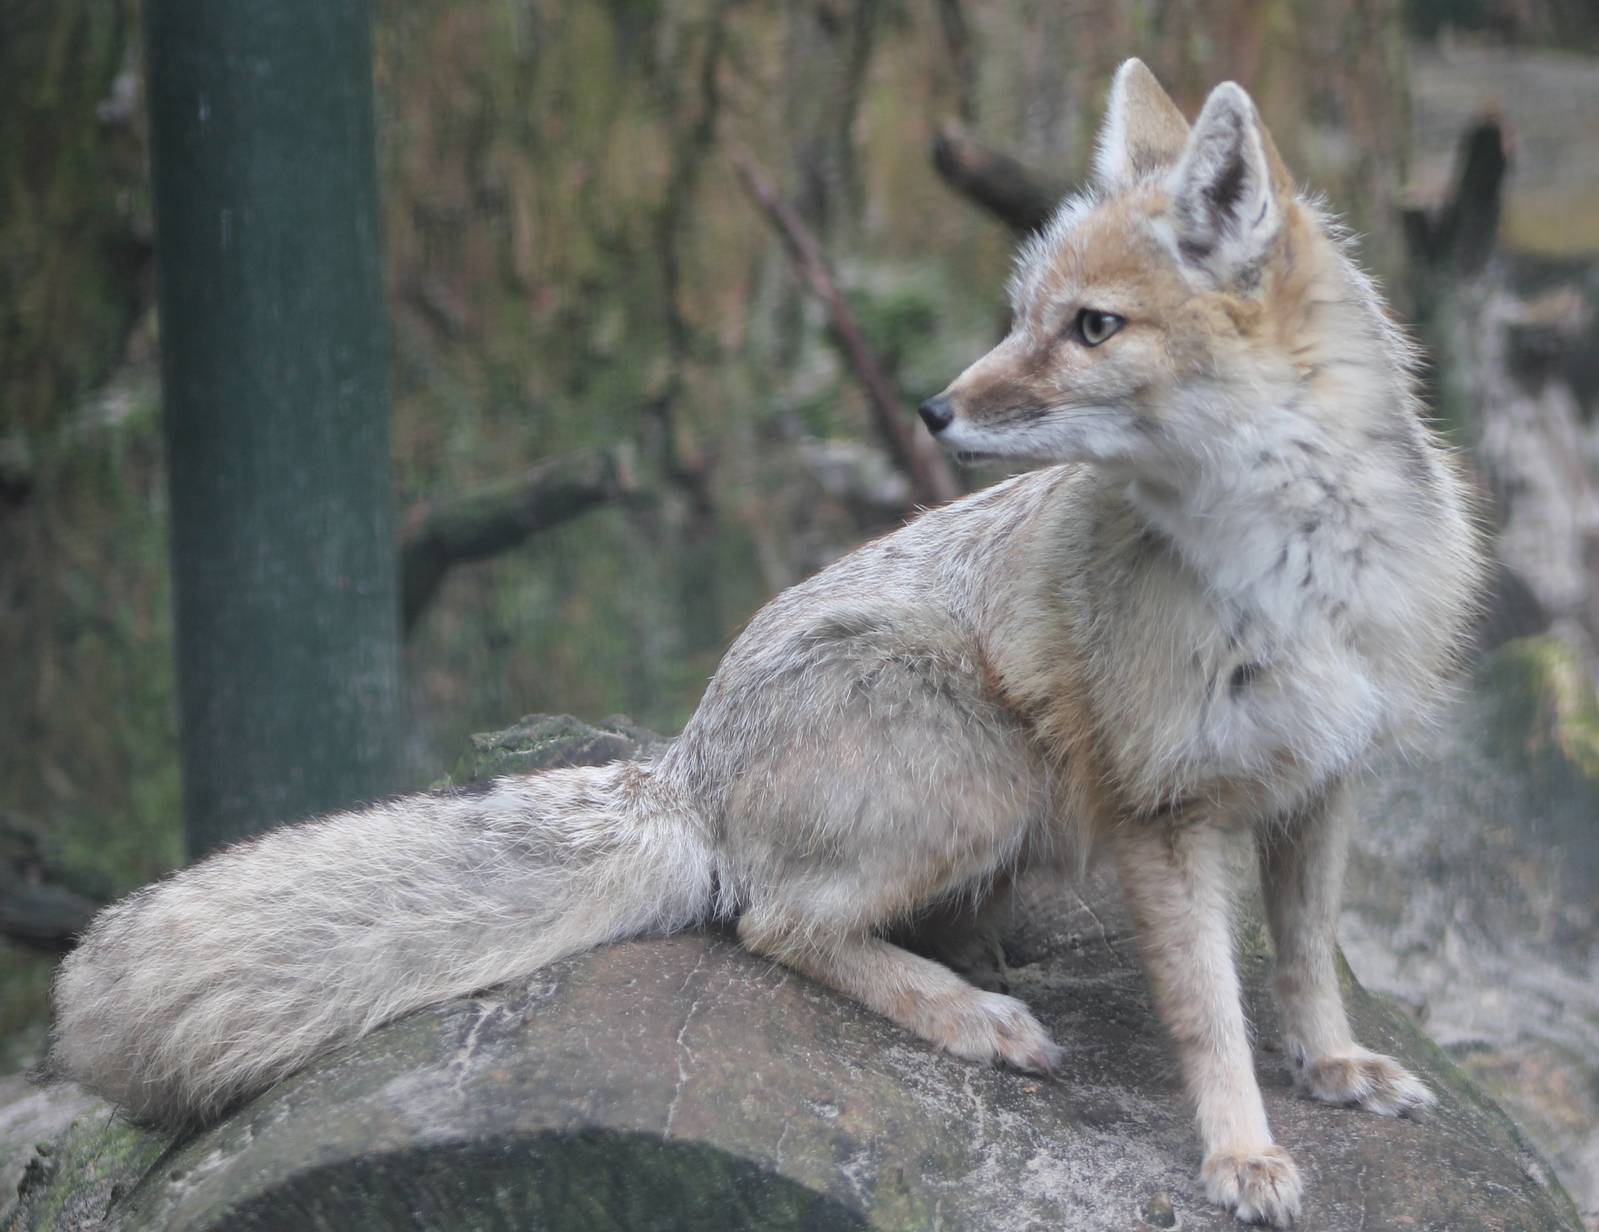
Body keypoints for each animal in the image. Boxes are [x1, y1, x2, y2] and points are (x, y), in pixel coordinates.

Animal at [46, 61, 1482, 1227]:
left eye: (1090, 328)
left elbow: (1301, 961)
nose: (931, 406)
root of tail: (686, 764)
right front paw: (1240, 1152)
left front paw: (1330, 1067)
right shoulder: (1161, 809)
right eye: (1023, 310)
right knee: (773, 923)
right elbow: (1207, 1011)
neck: (1292, 574)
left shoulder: (1326, 778)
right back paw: (965, 1009)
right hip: (987, 766)